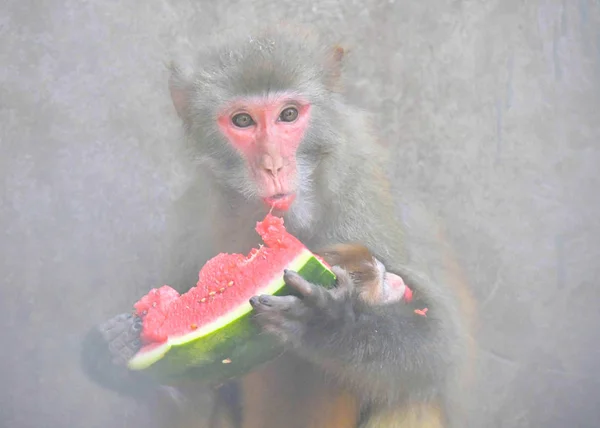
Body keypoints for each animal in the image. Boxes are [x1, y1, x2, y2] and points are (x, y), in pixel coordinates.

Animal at [79, 25, 476, 428]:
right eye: (243, 121)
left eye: (288, 114)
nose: (273, 165)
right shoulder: (197, 213)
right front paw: (115, 348)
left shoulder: (363, 194)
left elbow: (441, 345)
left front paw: (330, 324)